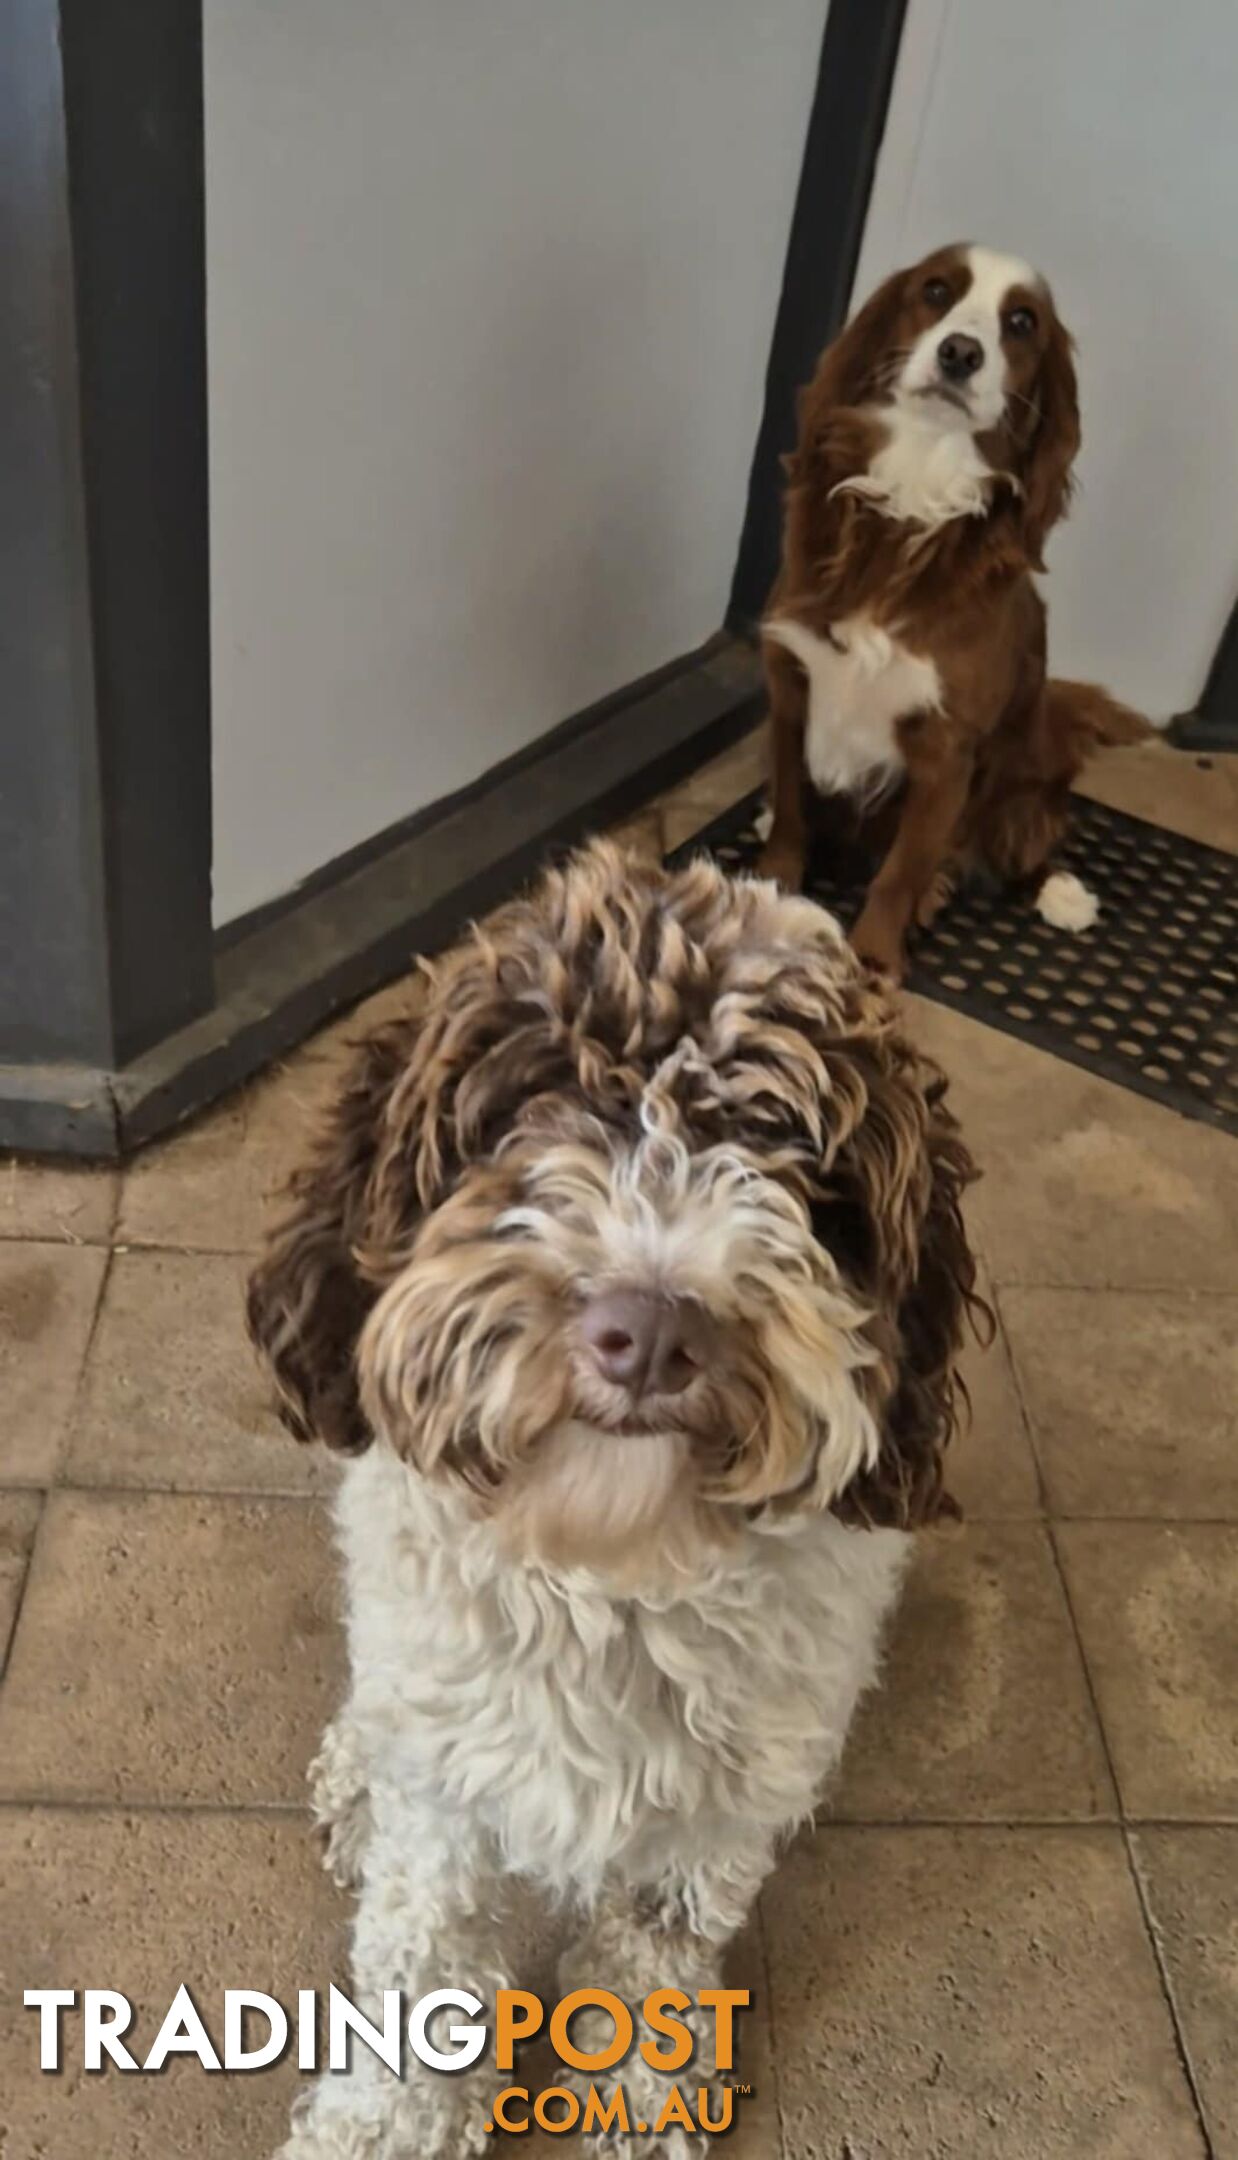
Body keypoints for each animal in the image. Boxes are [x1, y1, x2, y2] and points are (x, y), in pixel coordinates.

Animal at [248, 833, 985, 2151]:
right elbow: (424, 1953)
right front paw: (384, 2123)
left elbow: (655, 1941)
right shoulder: (449, 1780)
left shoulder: (728, 1799)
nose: (647, 1334)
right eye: (529, 1107)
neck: (612, 1567)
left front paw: (634, 2094)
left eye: (792, 1159)